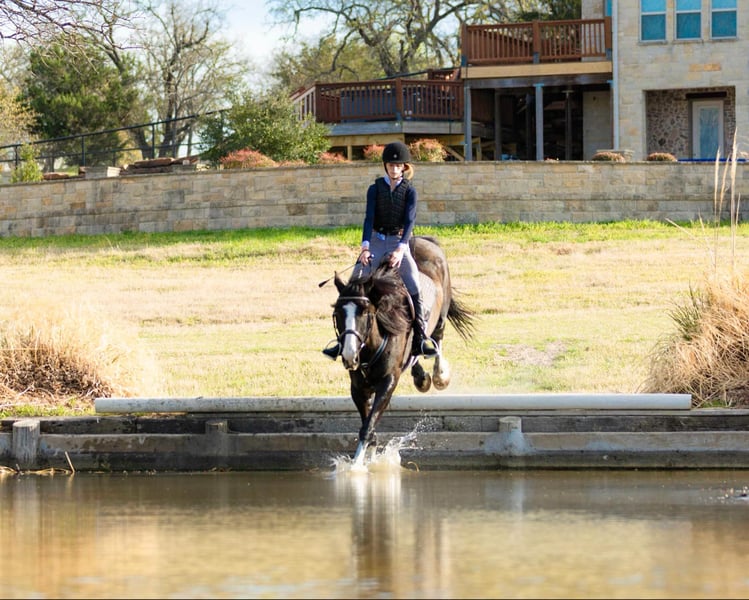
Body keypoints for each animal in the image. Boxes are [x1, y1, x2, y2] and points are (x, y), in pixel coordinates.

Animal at [326, 235, 475, 462]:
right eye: (338, 314)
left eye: (365, 312)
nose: (349, 356)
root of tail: (422, 239)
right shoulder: (358, 388)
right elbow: (368, 427)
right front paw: (369, 459)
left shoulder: (388, 382)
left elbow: (367, 428)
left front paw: (357, 467)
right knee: (416, 354)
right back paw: (421, 378)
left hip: (441, 314)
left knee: (437, 339)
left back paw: (439, 376)